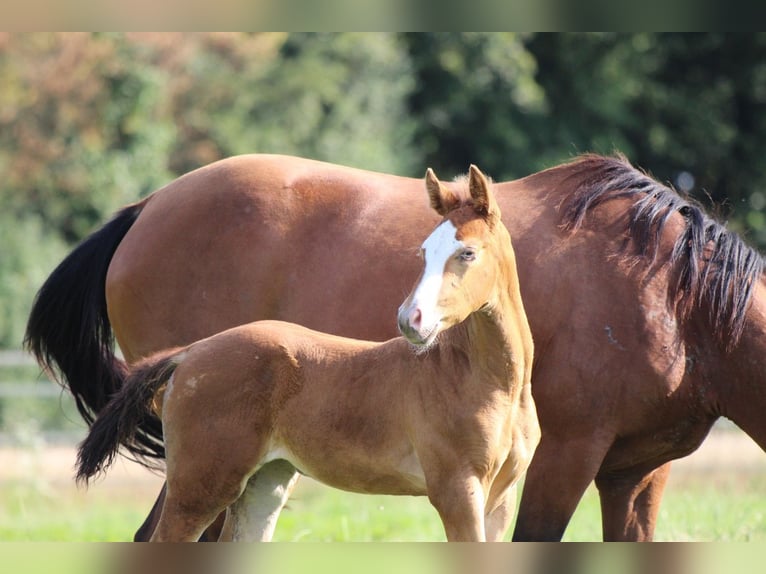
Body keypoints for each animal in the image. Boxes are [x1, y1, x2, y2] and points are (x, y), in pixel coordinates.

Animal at [27, 152, 764, 540]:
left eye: (465, 254)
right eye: (425, 252)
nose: (409, 320)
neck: (675, 298)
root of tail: (144, 209)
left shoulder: (638, 468)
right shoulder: (561, 454)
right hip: (209, 469)